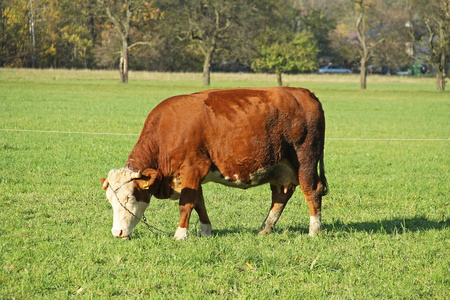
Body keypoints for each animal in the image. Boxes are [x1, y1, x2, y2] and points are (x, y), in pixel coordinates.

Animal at [99, 86, 326, 239]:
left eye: (129, 197)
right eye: (110, 200)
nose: (117, 232)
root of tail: (304, 92)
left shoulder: (192, 168)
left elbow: (186, 204)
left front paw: (180, 235)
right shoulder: (191, 176)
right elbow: (199, 203)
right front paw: (206, 231)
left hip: (305, 160)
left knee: (312, 191)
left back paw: (314, 230)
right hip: (279, 167)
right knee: (280, 197)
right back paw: (265, 229)